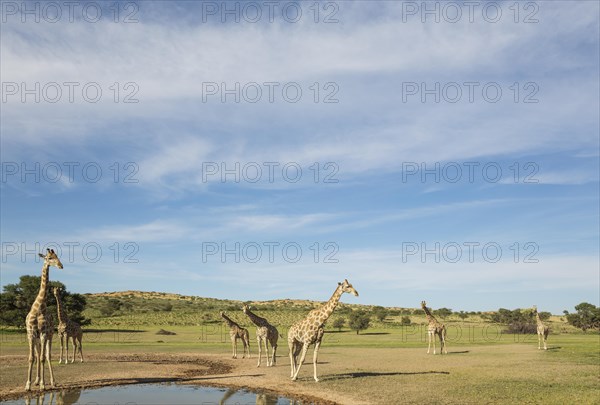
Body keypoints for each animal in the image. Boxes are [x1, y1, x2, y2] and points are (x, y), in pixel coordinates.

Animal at [24, 248, 63, 390]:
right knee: (38, 354)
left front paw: (42, 385)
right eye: (49, 258)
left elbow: (42, 358)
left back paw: (51, 381)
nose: (61, 266)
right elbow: (32, 358)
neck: (39, 308)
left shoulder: (44, 333)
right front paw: (28, 385)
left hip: (49, 335)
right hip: (36, 338)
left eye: (57, 256)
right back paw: (37, 380)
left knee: (47, 355)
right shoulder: (31, 333)